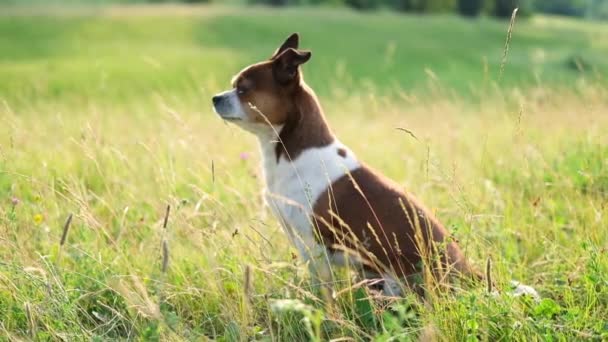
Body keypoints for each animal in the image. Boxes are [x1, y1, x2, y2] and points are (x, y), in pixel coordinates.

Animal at [211, 33, 536, 298]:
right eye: (233, 86)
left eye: (244, 89)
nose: (215, 98)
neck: (289, 150)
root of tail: (470, 275)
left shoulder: (314, 247)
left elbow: (323, 295)